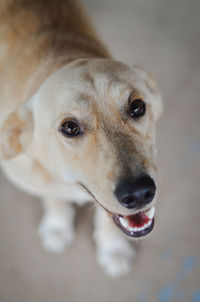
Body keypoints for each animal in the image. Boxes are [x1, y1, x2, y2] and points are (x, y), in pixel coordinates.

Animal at [0, 0, 162, 278]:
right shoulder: (36, 180)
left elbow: (106, 219)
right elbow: (53, 198)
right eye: (70, 127)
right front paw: (57, 226)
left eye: (137, 107)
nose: (140, 194)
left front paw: (113, 249)